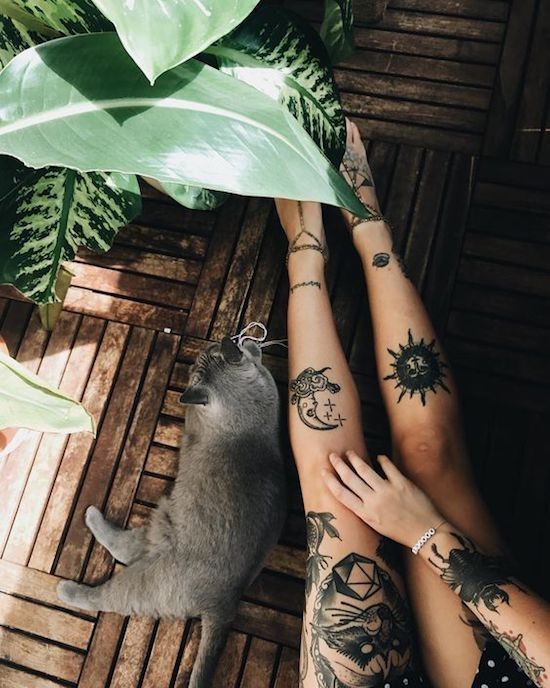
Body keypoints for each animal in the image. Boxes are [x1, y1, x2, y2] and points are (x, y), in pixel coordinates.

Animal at [58, 336, 287, 688]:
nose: (236, 338)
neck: (242, 415)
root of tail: (225, 603)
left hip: (152, 552)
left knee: (115, 571)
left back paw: (79, 555)